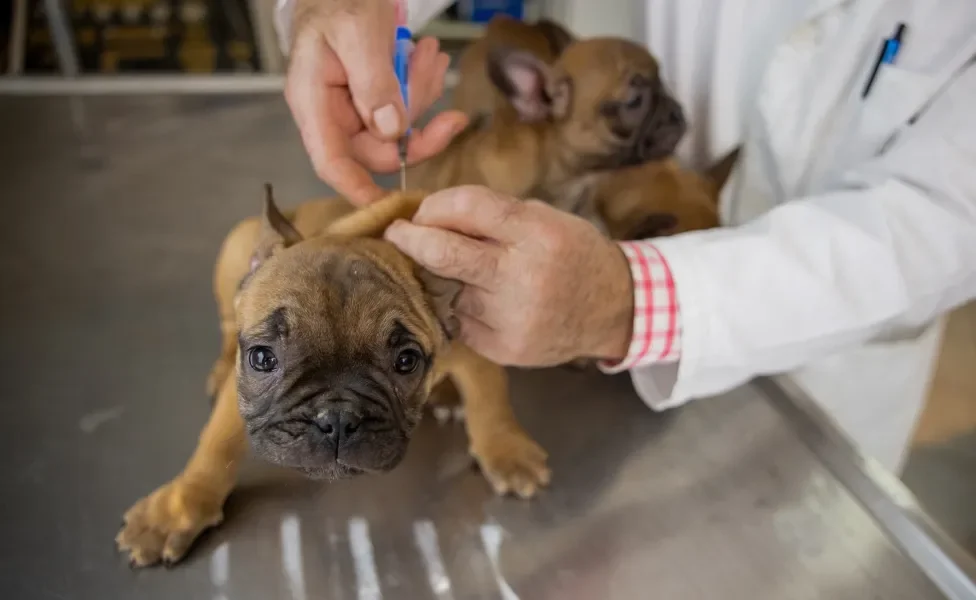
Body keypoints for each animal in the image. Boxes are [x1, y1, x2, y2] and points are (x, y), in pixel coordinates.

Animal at [116, 188, 548, 568]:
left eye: (406, 362)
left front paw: (506, 452)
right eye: (262, 358)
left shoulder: (470, 349)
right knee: (225, 321)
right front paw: (177, 509)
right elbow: (216, 443)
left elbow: (490, 397)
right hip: (235, 249)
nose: (337, 419)